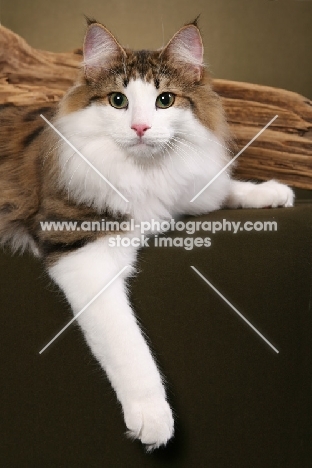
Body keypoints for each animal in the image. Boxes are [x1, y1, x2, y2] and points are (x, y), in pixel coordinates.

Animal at [0, 18, 294, 450]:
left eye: (165, 100)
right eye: (118, 101)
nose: (140, 127)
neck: (145, 172)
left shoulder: (184, 190)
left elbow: (219, 189)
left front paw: (273, 192)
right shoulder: (82, 248)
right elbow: (127, 341)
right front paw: (153, 416)